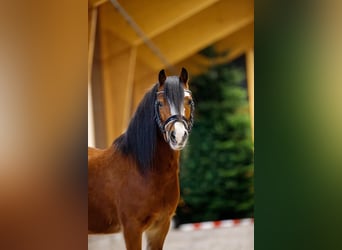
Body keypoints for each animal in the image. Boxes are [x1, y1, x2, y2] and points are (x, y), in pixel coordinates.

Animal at [88, 67, 195, 249]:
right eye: (160, 103)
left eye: (188, 101)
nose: (178, 136)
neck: (144, 171)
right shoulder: (132, 228)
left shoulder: (160, 227)